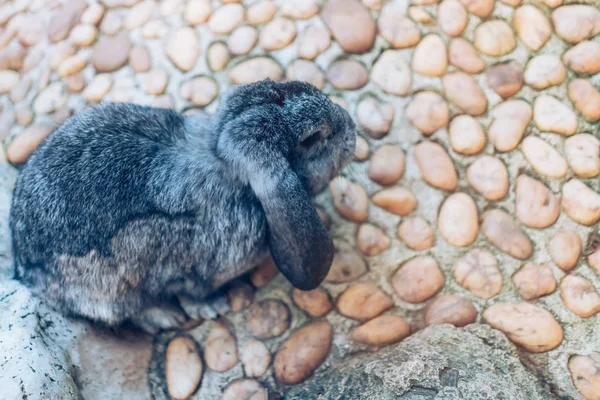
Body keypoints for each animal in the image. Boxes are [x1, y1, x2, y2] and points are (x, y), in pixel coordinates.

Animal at [9, 79, 356, 332]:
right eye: (313, 138)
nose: (352, 128)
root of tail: (25, 267)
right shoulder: (181, 265)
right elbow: (187, 291)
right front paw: (211, 308)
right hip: (112, 290)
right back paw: (168, 318)